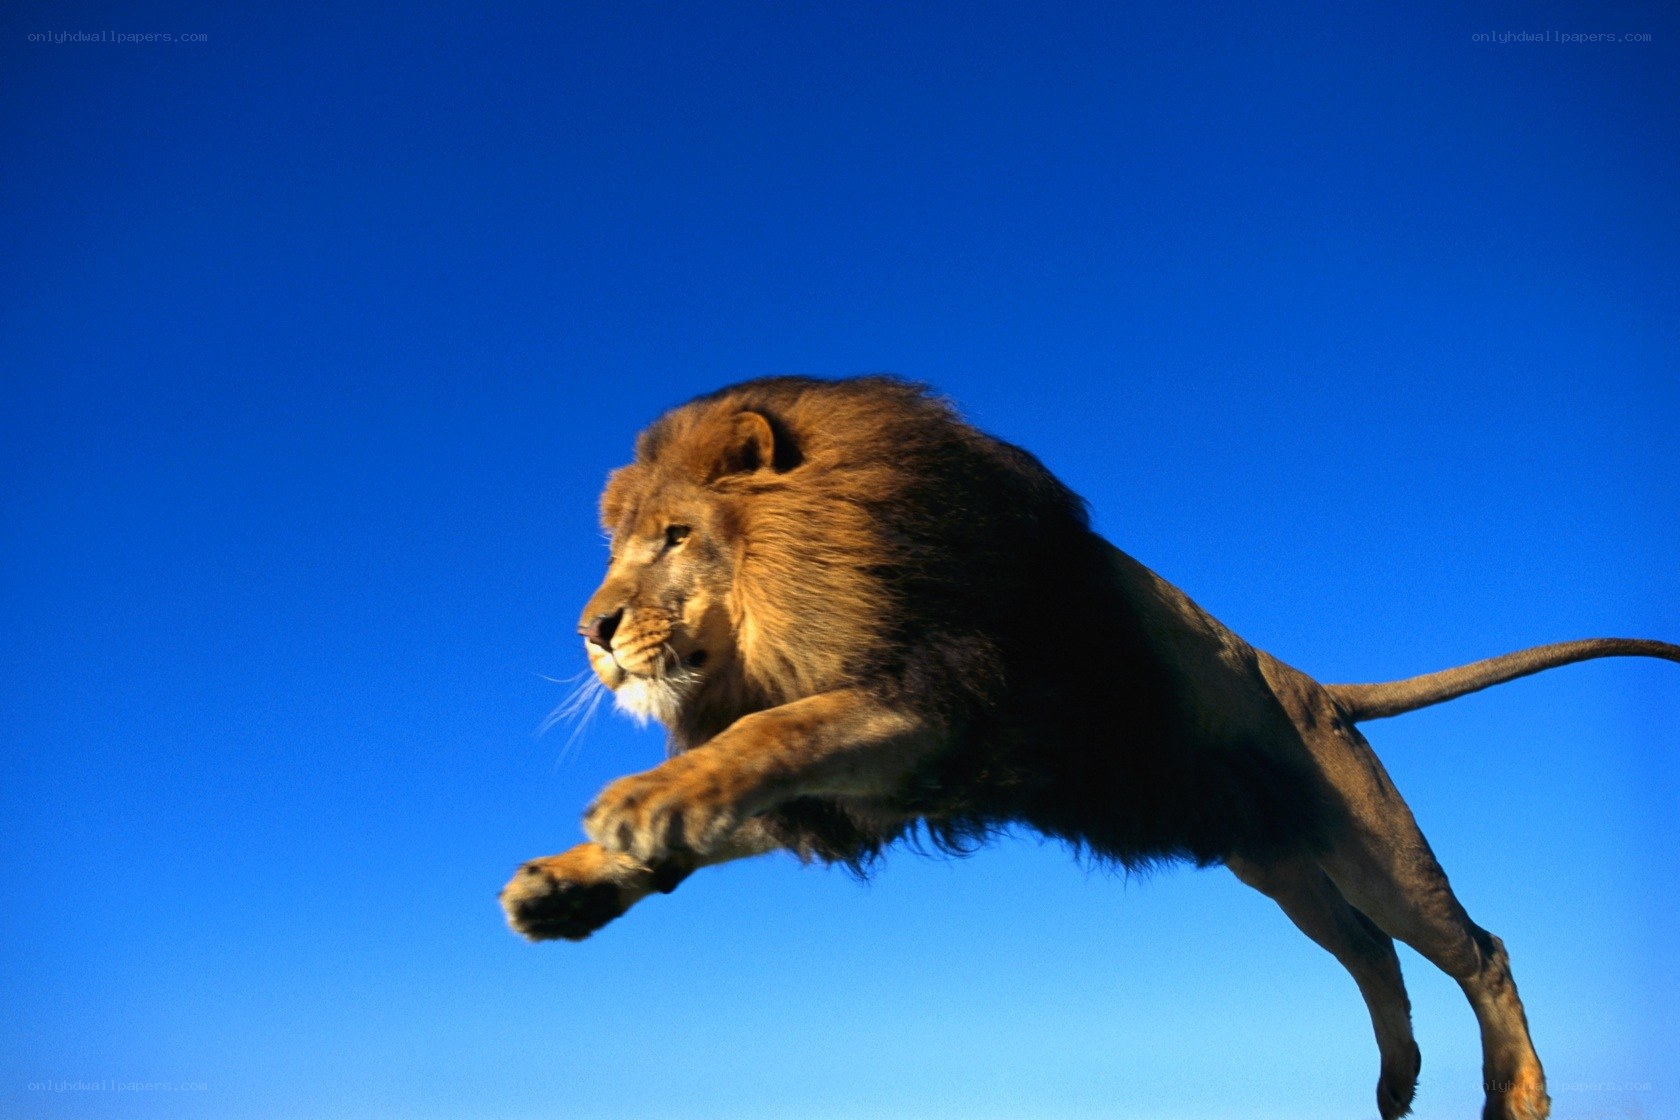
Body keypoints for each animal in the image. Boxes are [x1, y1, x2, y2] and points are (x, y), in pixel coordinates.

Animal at [499, 374, 1678, 1120]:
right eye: (617, 545)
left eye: (676, 537)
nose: (592, 632)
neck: (781, 602)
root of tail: (1310, 685)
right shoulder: (874, 784)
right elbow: (740, 788)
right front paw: (570, 882)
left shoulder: (934, 703)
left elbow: (770, 731)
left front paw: (638, 804)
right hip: (1281, 869)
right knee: (1371, 954)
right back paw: (1395, 1085)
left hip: (1373, 846)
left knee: (1478, 947)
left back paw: (1515, 1096)